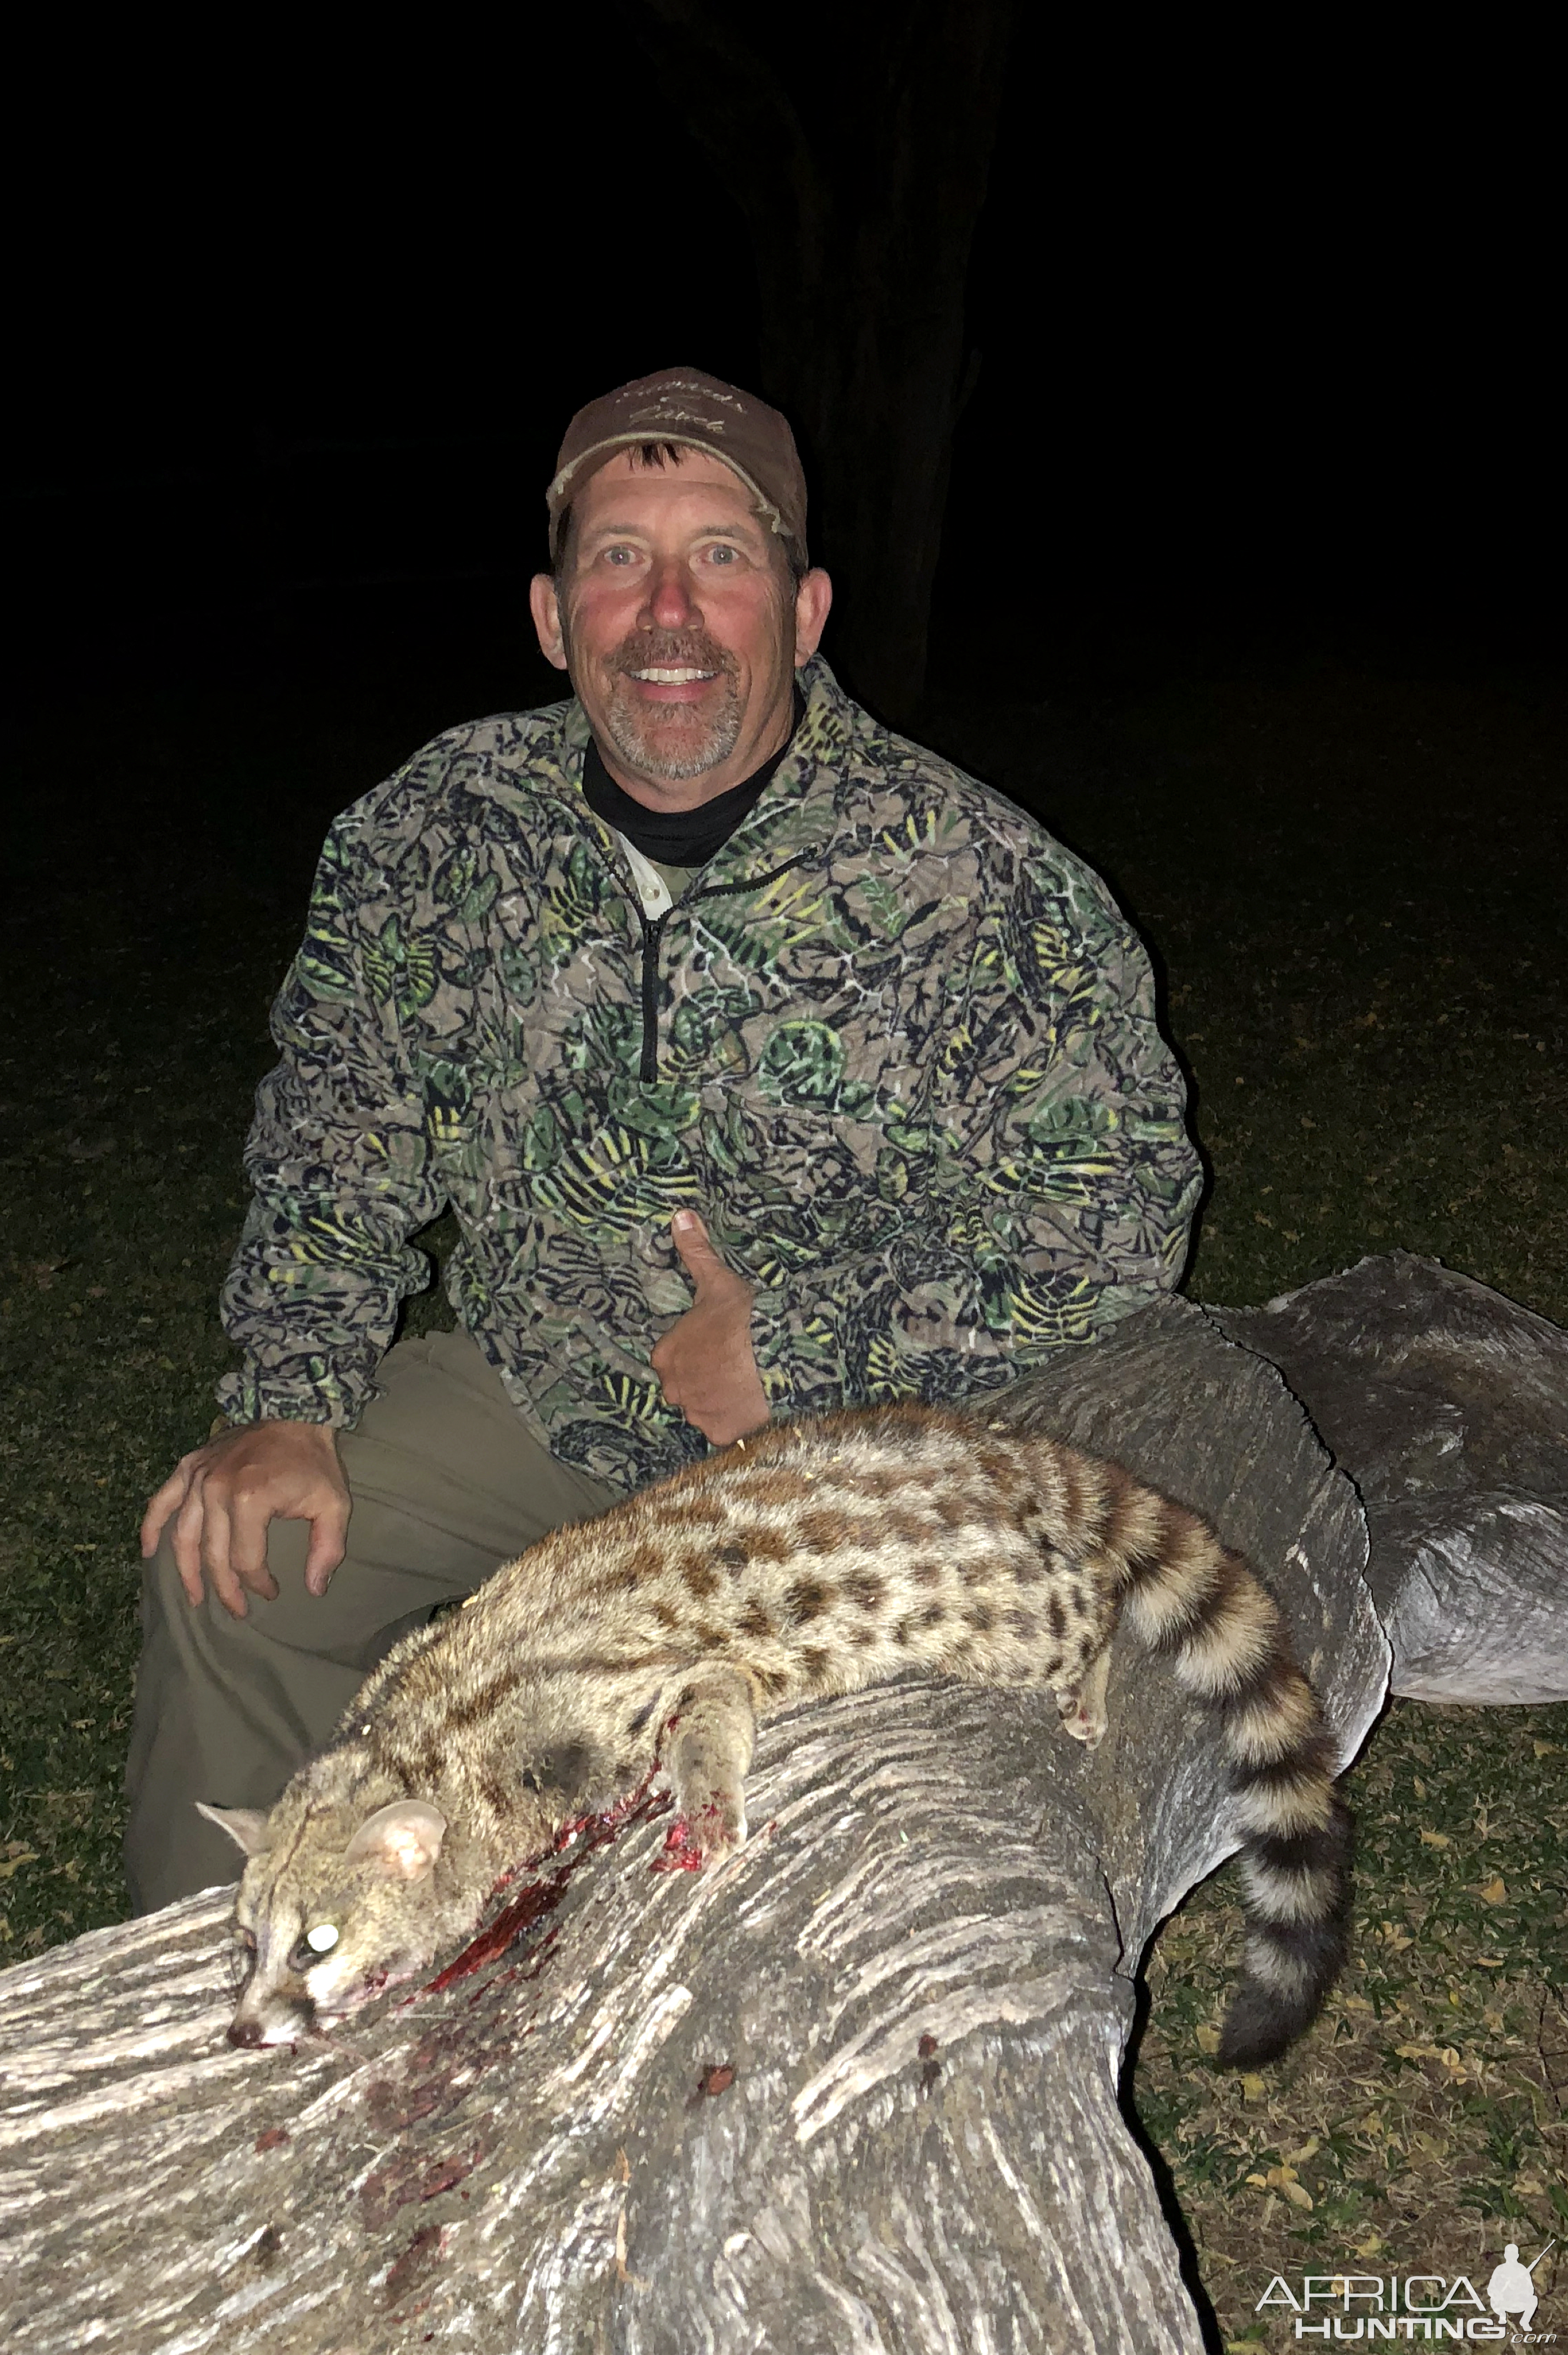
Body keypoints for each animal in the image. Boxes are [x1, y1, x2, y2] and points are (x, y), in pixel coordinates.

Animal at [201, 1394, 1347, 2063]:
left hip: (1006, 1616)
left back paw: (1093, 1669)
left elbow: (704, 1706)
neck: (410, 1740)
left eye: (315, 1944)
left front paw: (705, 1795)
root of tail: (1004, 1452)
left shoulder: (601, 1702)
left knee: (1092, 1604)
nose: (245, 2029)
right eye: (247, 1942)